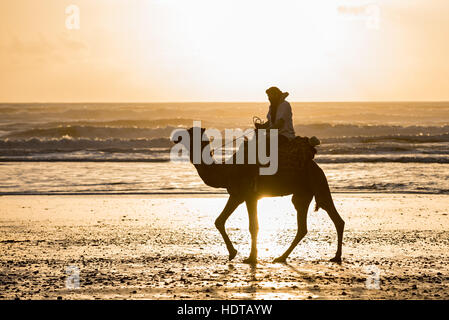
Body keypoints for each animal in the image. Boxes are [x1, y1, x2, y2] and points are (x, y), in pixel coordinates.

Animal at [173, 127, 344, 264]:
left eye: (189, 132)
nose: (176, 137)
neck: (226, 170)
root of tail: (315, 165)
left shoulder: (249, 196)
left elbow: (253, 226)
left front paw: (250, 257)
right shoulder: (237, 195)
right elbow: (219, 221)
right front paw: (233, 253)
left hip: (319, 183)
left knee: (335, 217)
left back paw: (336, 256)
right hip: (303, 194)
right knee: (303, 226)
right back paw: (281, 257)